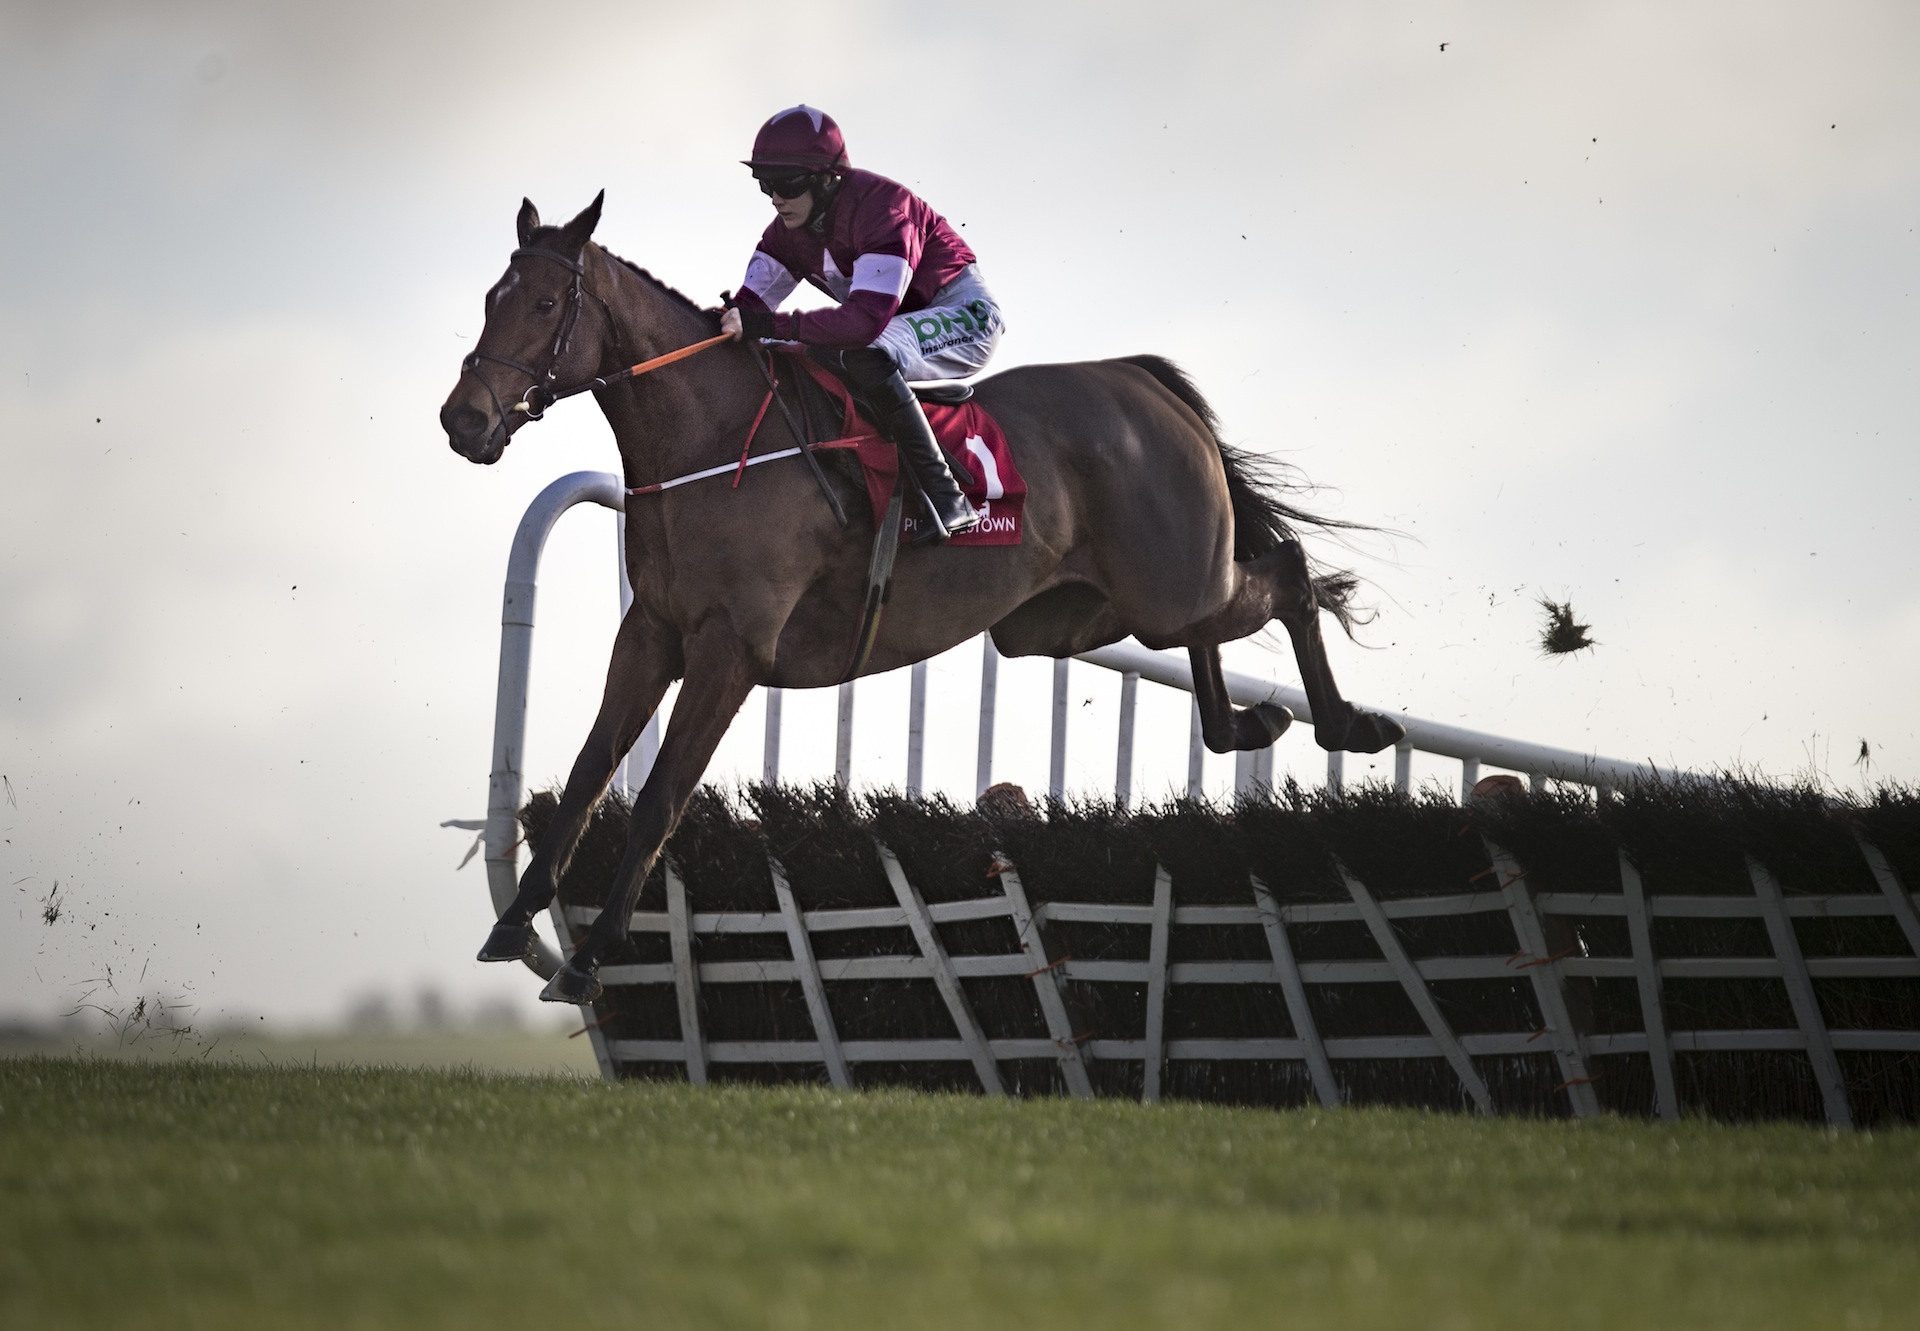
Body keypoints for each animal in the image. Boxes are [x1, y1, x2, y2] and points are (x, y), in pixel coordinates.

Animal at [435, 194, 1405, 998]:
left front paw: (592, 957)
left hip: (1168, 580)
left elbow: (661, 796)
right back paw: (1250, 721)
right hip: (1075, 615)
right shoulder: (651, 630)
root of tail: (1141, 379)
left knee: (1286, 572)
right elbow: (591, 772)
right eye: (489, 297)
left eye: (546, 305)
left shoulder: (731, 647)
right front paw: (514, 922)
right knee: (1216, 626)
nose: (463, 418)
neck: (708, 438)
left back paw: (1350, 724)